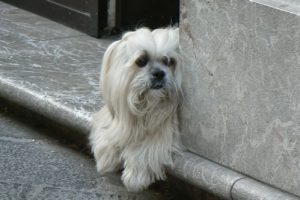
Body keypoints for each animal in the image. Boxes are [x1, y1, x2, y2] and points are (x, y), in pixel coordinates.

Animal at [89, 27, 183, 192]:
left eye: (170, 61)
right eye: (141, 61)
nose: (159, 73)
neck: (148, 104)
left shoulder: (166, 128)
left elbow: (146, 148)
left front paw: (134, 176)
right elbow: (110, 132)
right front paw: (107, 154)